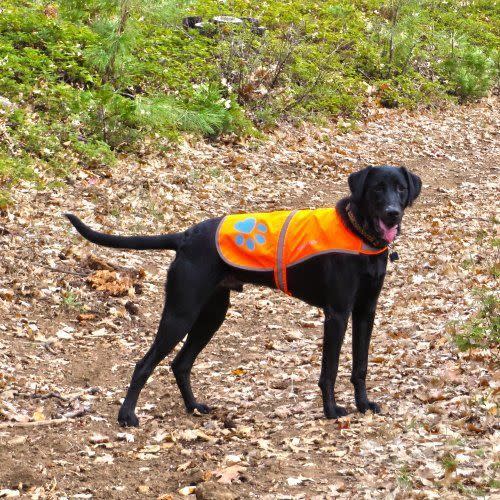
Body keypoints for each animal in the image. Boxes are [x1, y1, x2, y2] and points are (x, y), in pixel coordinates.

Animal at [64, 165, 420, 426]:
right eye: (377, 188)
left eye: (400, 188)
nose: (392, 213)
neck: (360, 233)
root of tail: (186, 236)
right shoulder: (337, 313)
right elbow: (329, 370)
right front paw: (332, 411)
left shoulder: (365, 312)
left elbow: (360, 365)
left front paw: (363, 404)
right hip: (181, 314)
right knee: (144, 364)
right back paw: (127, 415)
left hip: (211, 315)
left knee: (180, 363)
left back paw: (193, 406)